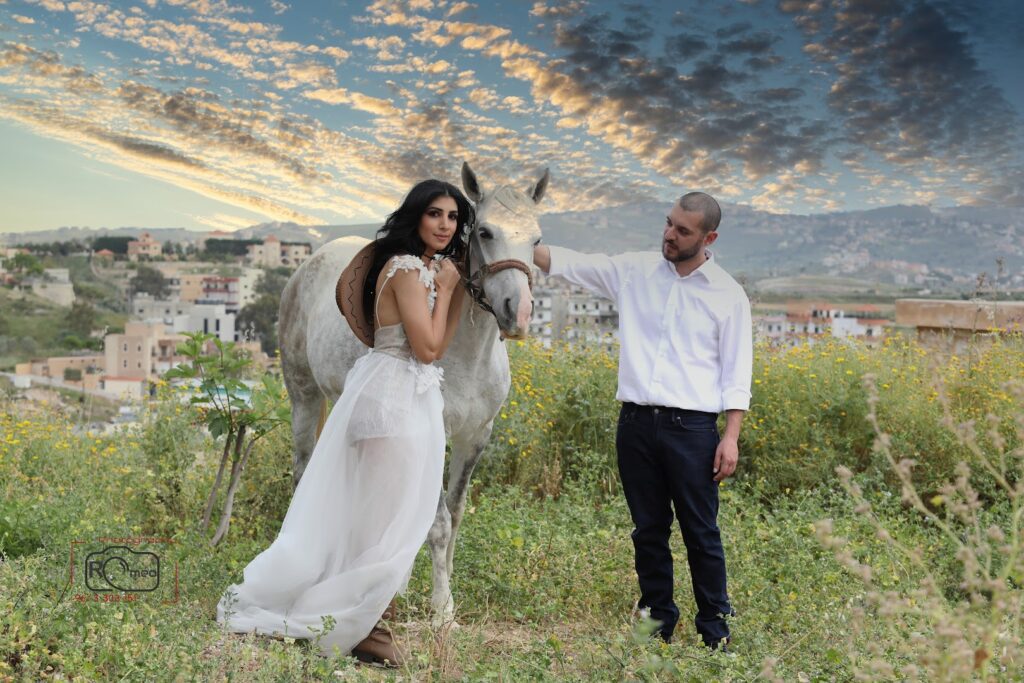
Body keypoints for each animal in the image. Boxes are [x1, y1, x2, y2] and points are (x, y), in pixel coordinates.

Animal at [280, 162, 548, 622]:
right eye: (485, 232)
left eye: (536, 239)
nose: (519, 313)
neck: (465, 354)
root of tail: (307, 265)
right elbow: (436, 522)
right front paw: (443, 608)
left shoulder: (477, 436)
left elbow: (456, 512)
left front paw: (437, 584)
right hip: (304, 396)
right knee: (302, 468)